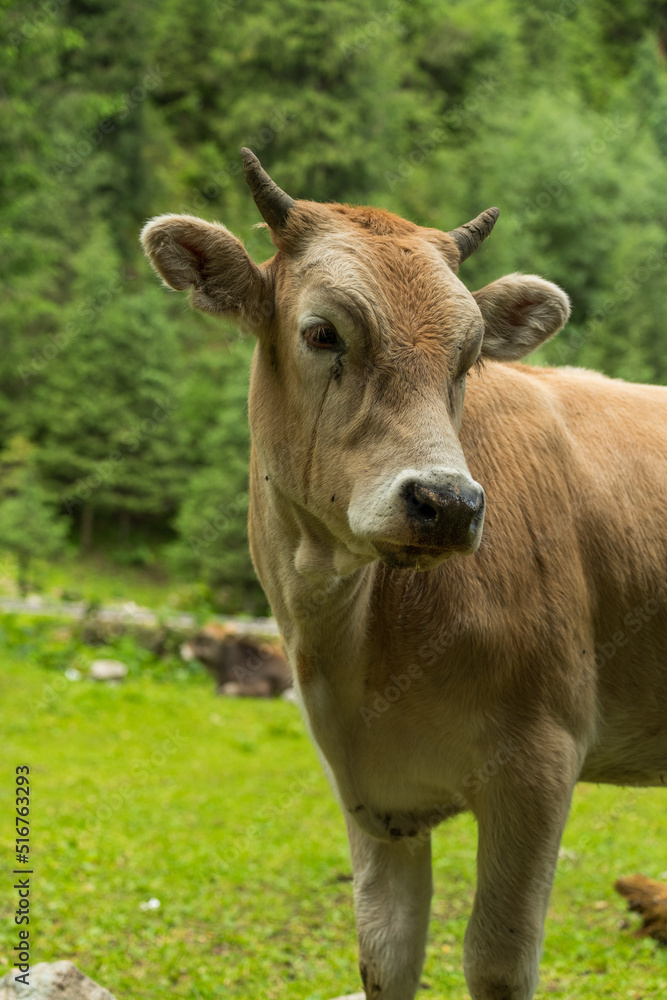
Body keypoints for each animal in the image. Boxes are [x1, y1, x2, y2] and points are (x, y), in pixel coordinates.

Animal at [142, 150, 667, 1000]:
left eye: (467, 357)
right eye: (322, 332)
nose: (448, 503)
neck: (357, 642)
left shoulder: (540, 761)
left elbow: (495, 960)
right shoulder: (371, 797)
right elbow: (384, 956)